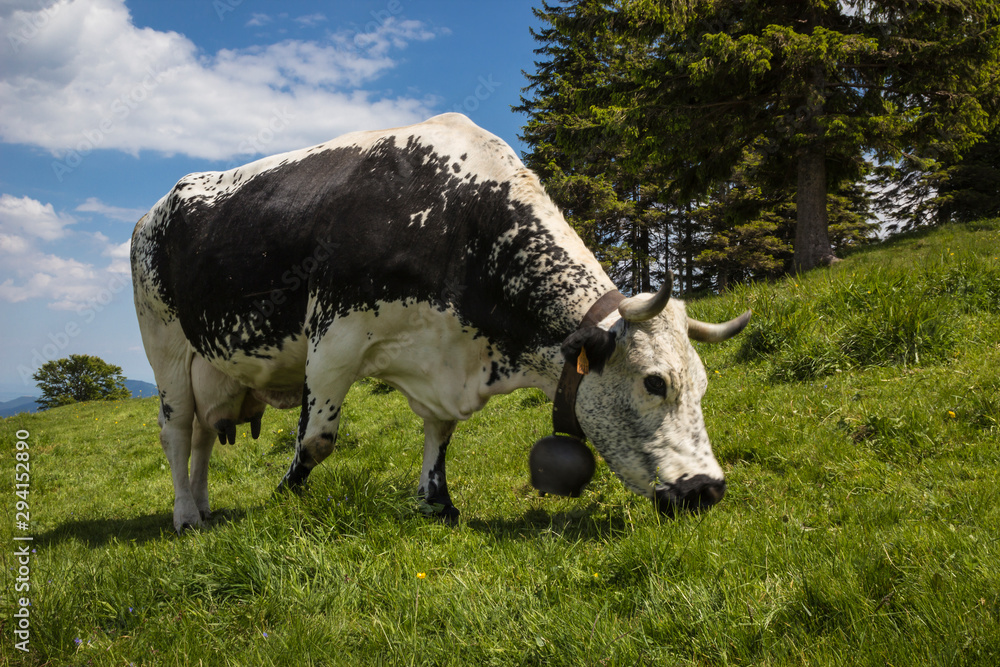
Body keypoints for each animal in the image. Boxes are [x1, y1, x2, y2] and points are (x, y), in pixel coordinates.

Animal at [131, 113, 750, 532]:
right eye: (654, 382)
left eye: (702, 385)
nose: (708, 489)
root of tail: (154, 209)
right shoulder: (333, 338)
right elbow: (316, 440)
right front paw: (285, 492)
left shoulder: (443, 357)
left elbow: (440, 434)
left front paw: (437, 502)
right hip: (165, 347)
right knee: (176, 431)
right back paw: (185, 515)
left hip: (213, 368)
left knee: (204, 435)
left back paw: (204, 504)